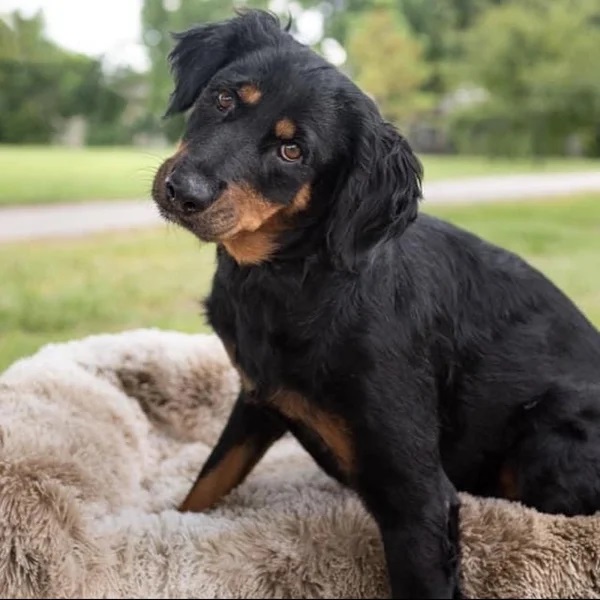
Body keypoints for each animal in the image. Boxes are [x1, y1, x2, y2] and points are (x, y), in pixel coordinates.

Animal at [151, 10, 600, 600]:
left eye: (293, 152)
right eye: (223, 98)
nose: (183, 192)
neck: (295, 279)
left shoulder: (417, 498)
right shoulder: (258, 399)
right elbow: (203, 487)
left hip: (546, 443)